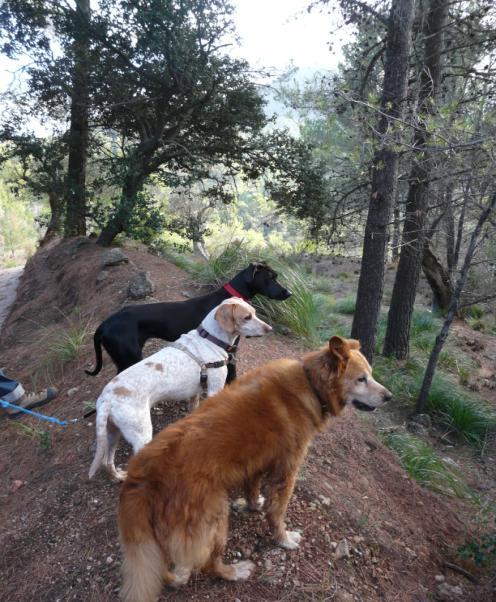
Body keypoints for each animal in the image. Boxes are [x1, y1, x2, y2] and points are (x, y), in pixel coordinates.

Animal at [83, 258, 288, 380]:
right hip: (129, 358)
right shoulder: (231, 351)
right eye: (271, 277)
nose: (290, 293)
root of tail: (105, 323)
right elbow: (232, 375)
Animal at [86, 298, 270, 480]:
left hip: (112, 433)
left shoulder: (195, 394)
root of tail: (107, 398)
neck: (210, 339)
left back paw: (118, 476)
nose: (270, 329)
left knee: (106, 462)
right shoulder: (214, 389)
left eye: (254, 312)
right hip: (141, 435)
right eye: (247, 317)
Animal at [117, 336, 392, 596]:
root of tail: (143, 476)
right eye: (362, 379)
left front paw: (252, 505)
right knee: (208, 564)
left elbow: (253, 489)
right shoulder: (286, 471)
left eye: (371, 375)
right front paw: (283, 539)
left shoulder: (257, 462)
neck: (310, 383)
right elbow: (277, 513)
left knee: (168, 573)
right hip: (215, 518)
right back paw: (235, 571)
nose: (389, 397)